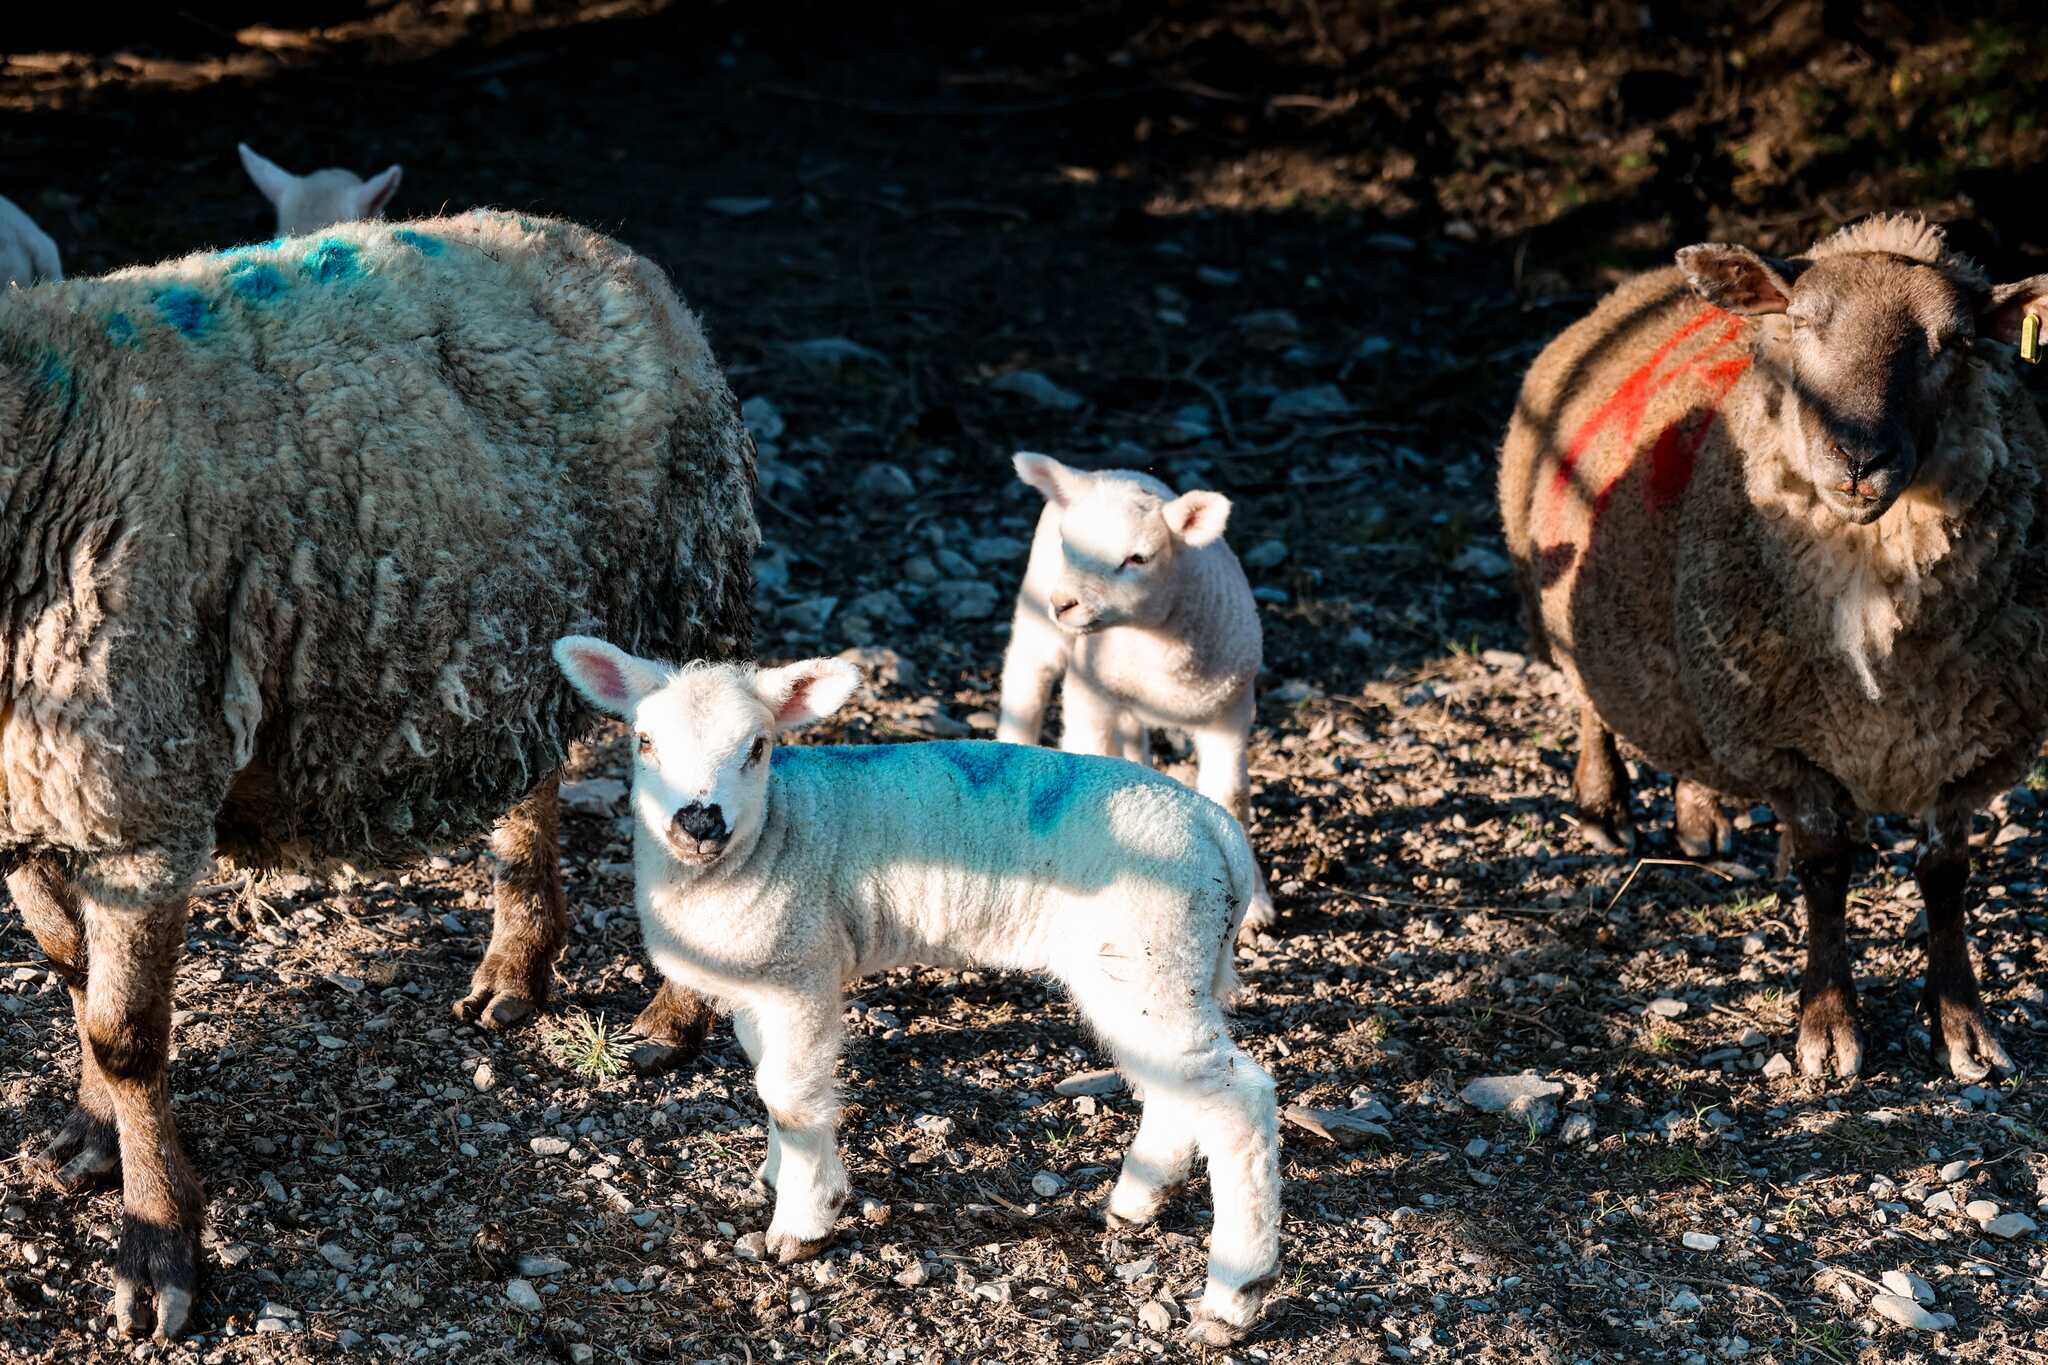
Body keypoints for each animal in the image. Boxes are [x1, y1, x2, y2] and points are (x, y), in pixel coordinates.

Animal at [1, 209, 757, 1338]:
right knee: (529, 777)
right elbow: (69, 966)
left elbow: (124, 1033)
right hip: (513, 631)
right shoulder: (39, 795)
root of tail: (612, 251)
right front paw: (91, 1139)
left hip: (690, 594)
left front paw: (157, 1247)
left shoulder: (142, 795)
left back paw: (672, 1021)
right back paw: (516, 970)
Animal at [553, 638, 1282, 1345]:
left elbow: (790, 1097)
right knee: (1176, 1085)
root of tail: (1217, 831)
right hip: (1156, 965)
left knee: (1237, 1100)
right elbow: (767, 1076)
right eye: (645, 740)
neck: (778, 829)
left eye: (758, 747)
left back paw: (1235, 1295)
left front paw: (804, 1220)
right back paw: (1136, 1204)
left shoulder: (803, 971)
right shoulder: (767, 977)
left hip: (1150, 947)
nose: (699, 823)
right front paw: (777, 1173)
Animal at [996, 453, 1271, 933]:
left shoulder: (1231, 711)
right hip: (1039, 621)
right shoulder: (1088, 694)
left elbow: (1232, 795)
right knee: (1025, 683)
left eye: (1137, 558)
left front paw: (1254, 903)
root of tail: (1111, 471)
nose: (1064, 603)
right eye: (1068, 544)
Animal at [1499, 212, 2048, 1083]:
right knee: (1590, 700)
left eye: (1956, 342)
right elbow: (1824, 870)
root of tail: (1639, 284)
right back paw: (1604, 805)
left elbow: (1945, 878)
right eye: (1802, 322)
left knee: (1686, 735)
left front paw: (1963, 1027)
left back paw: (1702, 817)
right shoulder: (1784, 743)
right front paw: (1828, 1028)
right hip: (1562, 604)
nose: (1859, 457)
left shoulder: (1974, 746)